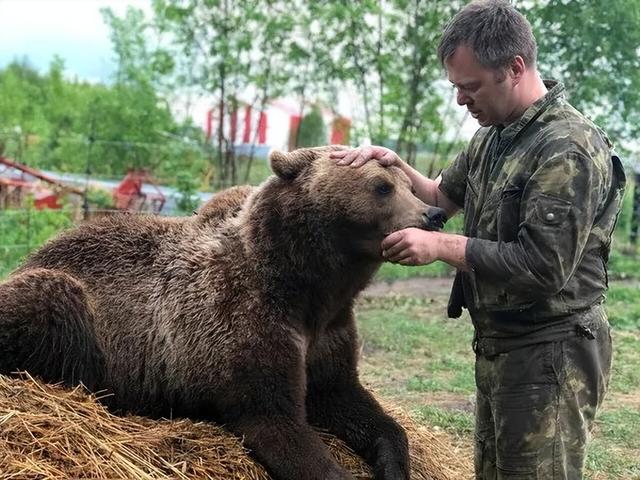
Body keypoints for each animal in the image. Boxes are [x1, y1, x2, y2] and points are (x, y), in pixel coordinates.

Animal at [0, 146, 448, 480]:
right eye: (381, 186)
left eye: (409, 184)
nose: (434, 214)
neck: (305, 287)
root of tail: (29, 257)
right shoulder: (242, 323)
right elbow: (276, 417)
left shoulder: (328, 332)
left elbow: (351, 401)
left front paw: (393, 463)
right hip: (71, 304)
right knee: (53, 305)